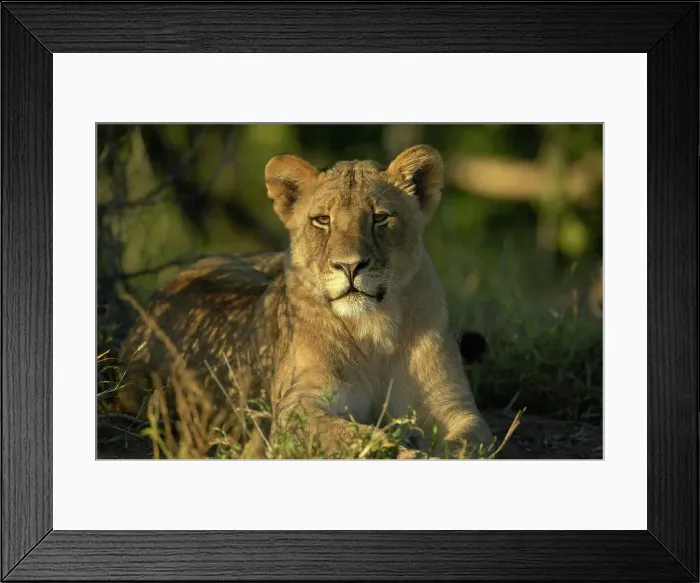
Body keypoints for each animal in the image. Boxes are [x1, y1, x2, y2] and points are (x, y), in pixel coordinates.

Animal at [117, 145, 494, 459]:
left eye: (380, 217)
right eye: (322, 220)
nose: (350, 266)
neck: (373, 329)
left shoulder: (452, 404)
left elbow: (468, 443)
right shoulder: (296, 409)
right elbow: (348, 436)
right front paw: (396, 448)